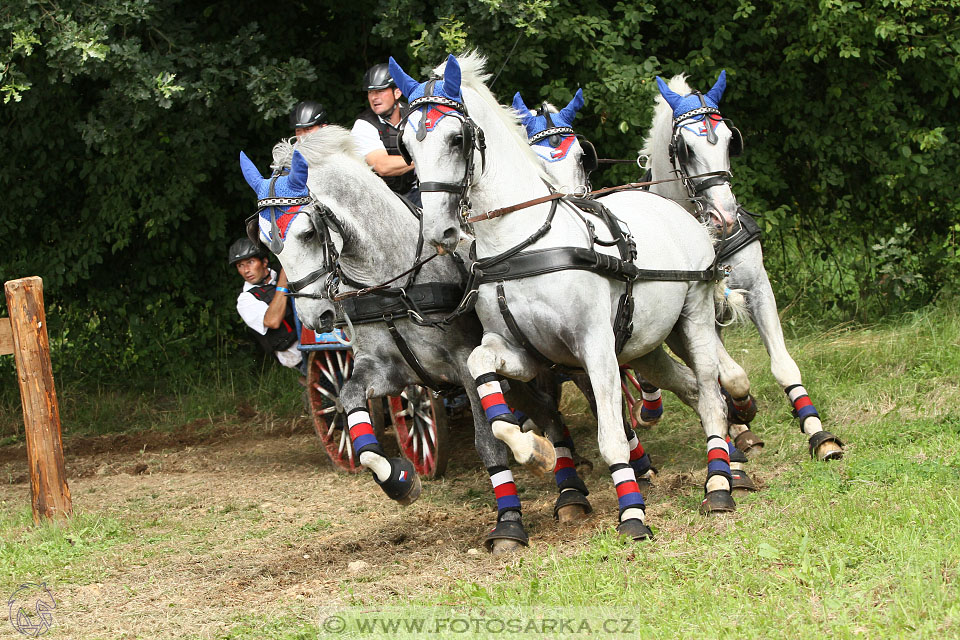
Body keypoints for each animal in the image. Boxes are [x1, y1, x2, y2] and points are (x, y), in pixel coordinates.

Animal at [390, 52, 752, 536]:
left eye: (456, 137)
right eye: (407, 147)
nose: (439, 231)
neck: (521, 242)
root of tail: (676, 208)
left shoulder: (594, 347)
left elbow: (612, 437)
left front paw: (632, 513)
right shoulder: (526, 354)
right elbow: (487, 377)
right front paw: (533, 451)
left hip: (693, 318)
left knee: (712, 396)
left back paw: (719, 485)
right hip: (649, 343)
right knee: (692, 388)